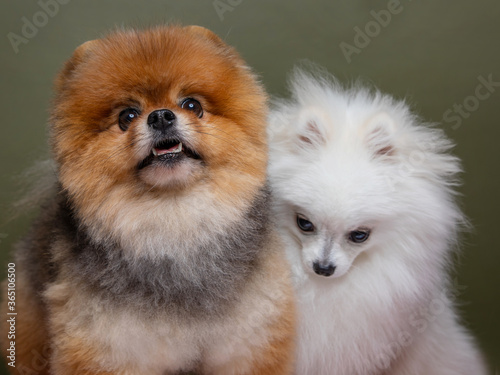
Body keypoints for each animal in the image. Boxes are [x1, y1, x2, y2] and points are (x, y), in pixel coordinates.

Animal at [1, 25, 294, 374]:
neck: (173, 219)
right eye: (127, 116)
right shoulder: (107, 346)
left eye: (192, 105)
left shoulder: (250, 339)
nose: (161, 116)